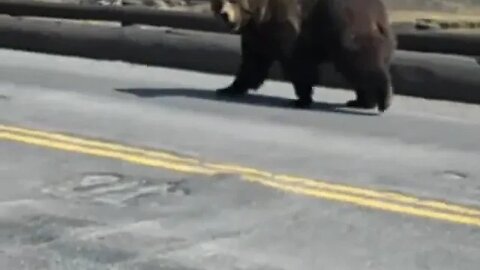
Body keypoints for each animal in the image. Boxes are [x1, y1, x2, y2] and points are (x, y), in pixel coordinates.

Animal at [211, 0, 398, 112]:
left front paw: (302, 99)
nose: (225, 14)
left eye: (235, 1)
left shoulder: (286, 24)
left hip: (347, 28)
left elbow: (297, 63)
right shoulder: (257, 34)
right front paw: (228, 88)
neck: (259, 14)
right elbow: (252, 64)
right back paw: (362, 101)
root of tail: (380, 14)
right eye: (219, 2)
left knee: (361, 62)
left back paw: (383, 100)